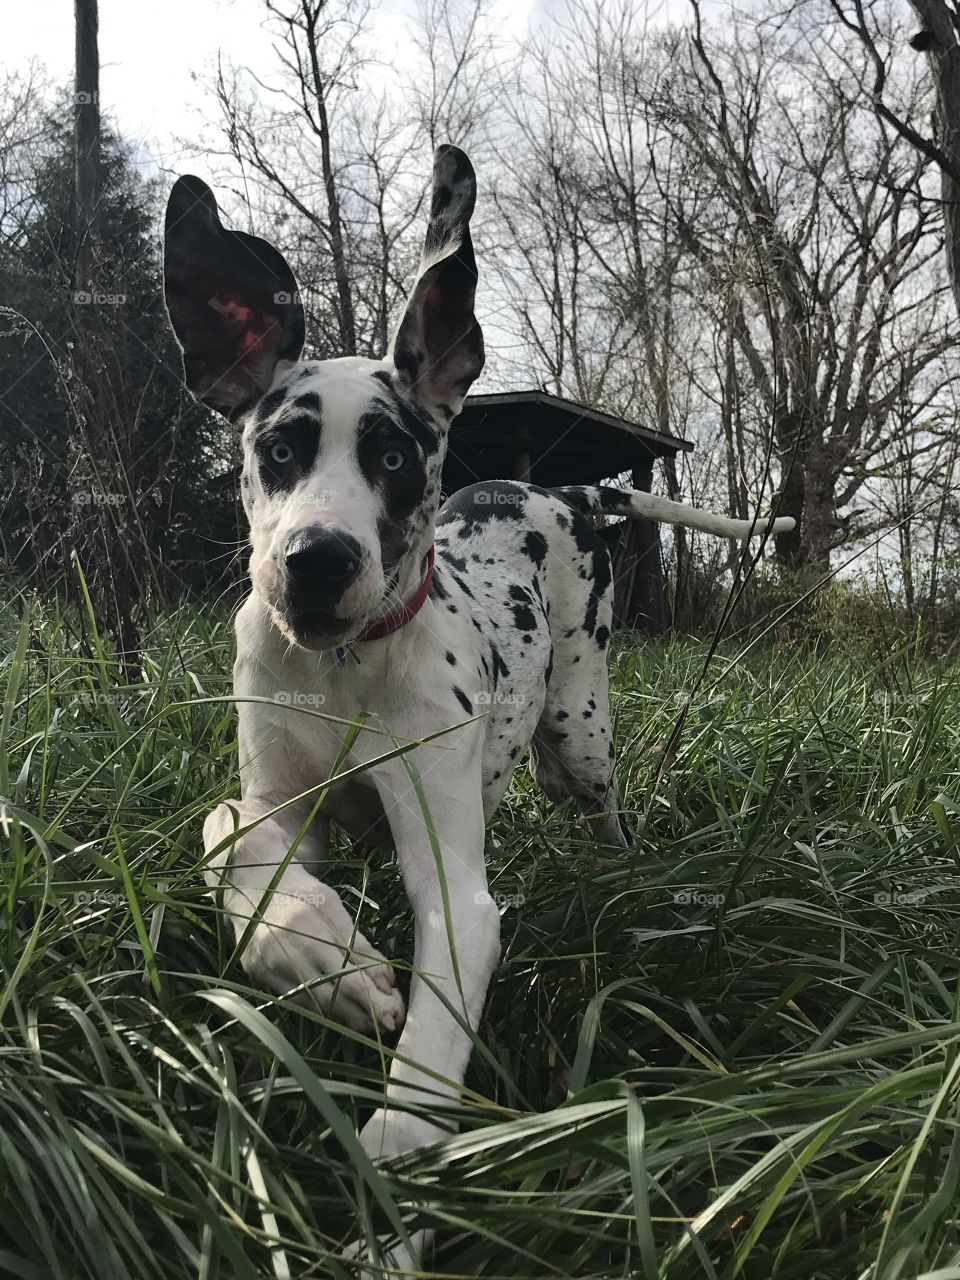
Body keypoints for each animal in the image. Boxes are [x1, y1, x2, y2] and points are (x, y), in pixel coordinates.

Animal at [163, 142, 798, 1269]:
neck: (345, 670)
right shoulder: (279, 797)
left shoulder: (452, 889)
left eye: (393, 455)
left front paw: (391, 1193)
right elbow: (229, 832)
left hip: (576, 739)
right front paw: (322, 954)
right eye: (279, 450)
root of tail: (564, 491)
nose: (316, 562)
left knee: (603, 809)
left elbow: (430, 1035)